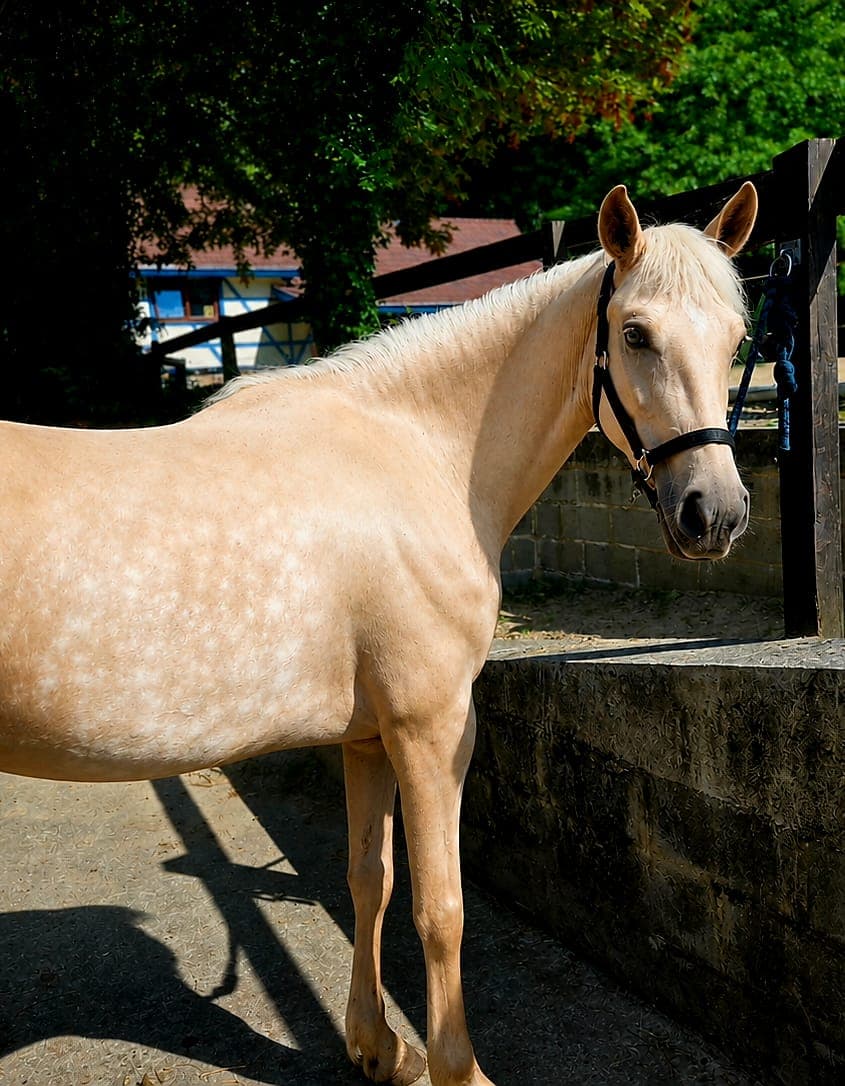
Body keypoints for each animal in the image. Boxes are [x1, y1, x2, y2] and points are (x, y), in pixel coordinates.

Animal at [0, 182, 757, 1085]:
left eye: (737, 336)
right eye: (635, 332)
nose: (714, 514)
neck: (418, 452)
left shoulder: (365, 736)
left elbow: (370, 878)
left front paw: (375, 1044)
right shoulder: (431, 728)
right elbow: (439, 907)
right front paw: (457, 1069)